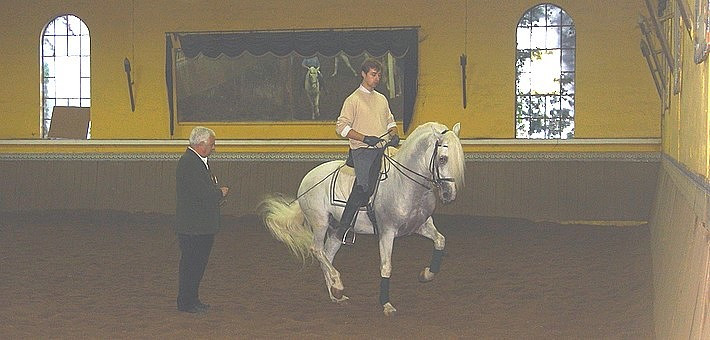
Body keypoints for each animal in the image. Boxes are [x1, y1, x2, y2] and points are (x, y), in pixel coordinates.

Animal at [262, 122, 468, 316]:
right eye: (443, 158)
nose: (449, 195)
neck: (405, 183)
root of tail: (307, 180)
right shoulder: (387, 232)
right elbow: (386, 267)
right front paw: (386, 305)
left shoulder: (420, 225)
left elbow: (440, 241)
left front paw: (426, 274)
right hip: (320, 223)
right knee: (317, 250)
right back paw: (338, 285)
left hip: (337, 230)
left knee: (327, 254)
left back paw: (335, 293)